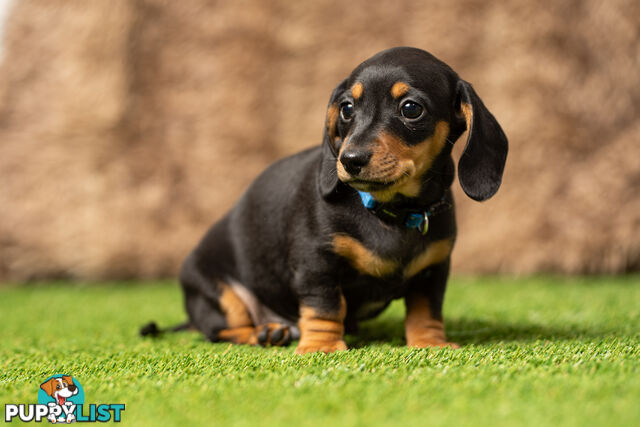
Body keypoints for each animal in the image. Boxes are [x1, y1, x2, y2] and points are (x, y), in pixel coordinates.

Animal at [142, 46, 508, 354]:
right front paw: (322, 347)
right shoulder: (316, 262)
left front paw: (430, 343)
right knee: (220, 330)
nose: (350, 160)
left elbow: (425, 310)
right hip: (216, 292)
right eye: (346, 108)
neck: (388, 211)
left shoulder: (433, 269)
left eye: (411, 109)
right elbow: (325, 306)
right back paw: (265, 332)